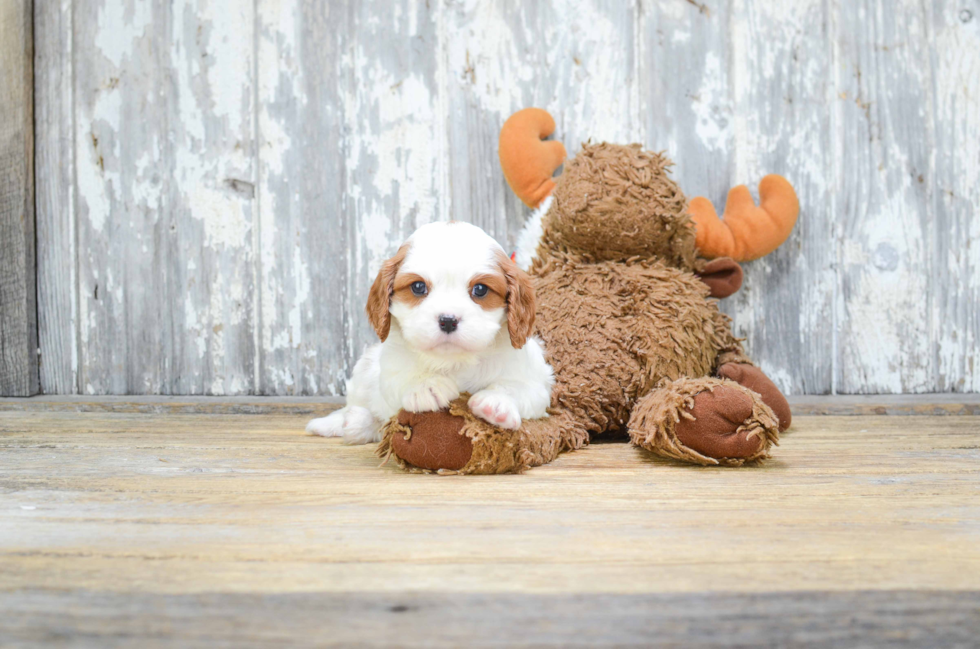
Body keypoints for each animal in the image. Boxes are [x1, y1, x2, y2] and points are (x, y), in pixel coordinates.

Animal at [306, 220, 552, 442]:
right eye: (418, 287)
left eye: (480, 289)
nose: (448, 320)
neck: (455, 361)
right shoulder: (388, 370)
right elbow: (398, 380)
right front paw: (426, 386)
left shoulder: (536, 382)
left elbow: (520, 388)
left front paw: (496, 400)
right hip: (363, 369)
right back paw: (345, 422)